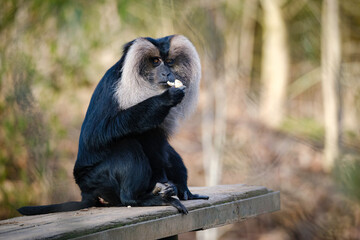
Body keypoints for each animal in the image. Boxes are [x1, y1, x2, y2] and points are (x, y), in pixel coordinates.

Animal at [17, 34, 208, 216]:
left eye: (169, 62)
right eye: (155, 61)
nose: (167, 74)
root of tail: (85, 192)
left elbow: (159, 146)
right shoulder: (114, 89)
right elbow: (96, 134)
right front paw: (166, 99)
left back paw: (178, 191)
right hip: (97, 180)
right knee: (127, 147)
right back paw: (140, 199)